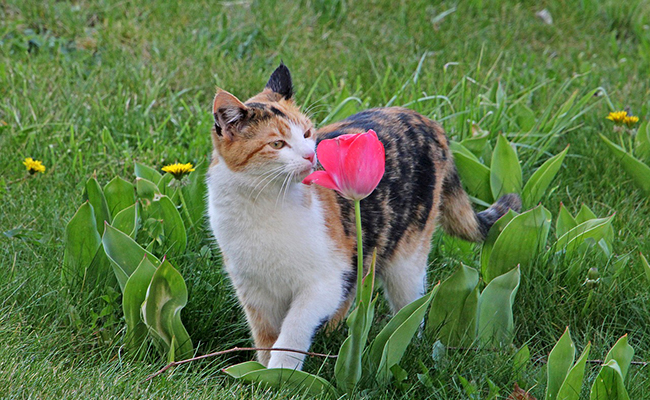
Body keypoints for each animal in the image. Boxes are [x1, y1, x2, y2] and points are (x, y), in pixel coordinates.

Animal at [205, 64, 520, 370]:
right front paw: (263, 373)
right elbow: (266, 339)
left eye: (306, 134)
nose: (310, 155)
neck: (262, 204)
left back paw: (406, 344)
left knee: (410, 308)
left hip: (405, 259)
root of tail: (425, 120)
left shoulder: (325, 282)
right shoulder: (255, 292)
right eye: (278, 145)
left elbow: (294, 328)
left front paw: (280, 372)